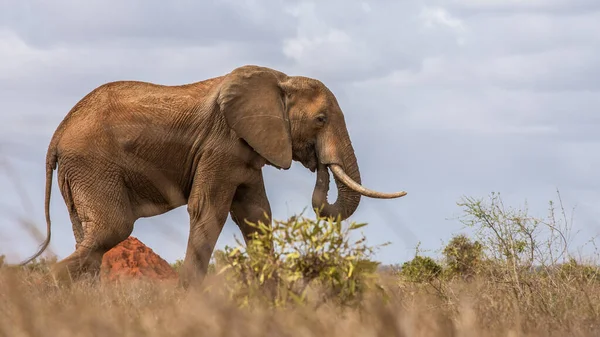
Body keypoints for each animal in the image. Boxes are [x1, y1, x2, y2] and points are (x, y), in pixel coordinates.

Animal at [22, 65, 408, 286]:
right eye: (321, 120)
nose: (319, 164)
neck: (280, 81)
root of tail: (57, 135)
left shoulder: (246, 152)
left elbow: (256, 217)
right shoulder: (220, 145)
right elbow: (209, 210)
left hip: (80, 173)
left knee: (90, 236)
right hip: (92, 165)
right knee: (113, 228)